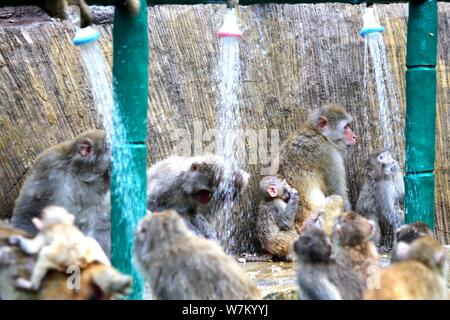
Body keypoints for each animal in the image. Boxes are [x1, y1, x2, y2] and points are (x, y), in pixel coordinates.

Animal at [280, 104, 356, 232]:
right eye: (345, 127)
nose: (354, 136)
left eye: (349, 126)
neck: (318, 133)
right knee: (337, 199)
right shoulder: (330, 155)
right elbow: (339, 193)